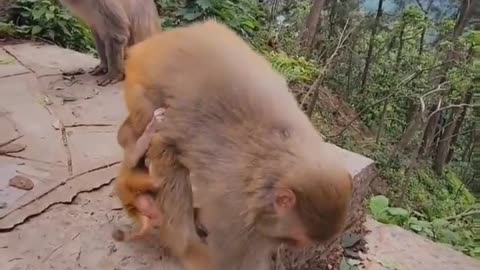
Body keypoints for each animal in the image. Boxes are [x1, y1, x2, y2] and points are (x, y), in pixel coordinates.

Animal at [122, 20, 352, 268]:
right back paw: (185, 244)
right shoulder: (234, 213)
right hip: (141, 89)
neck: (275, 164)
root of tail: (149, 46)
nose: (296, 248)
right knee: (165, 149)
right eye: (298, 239)